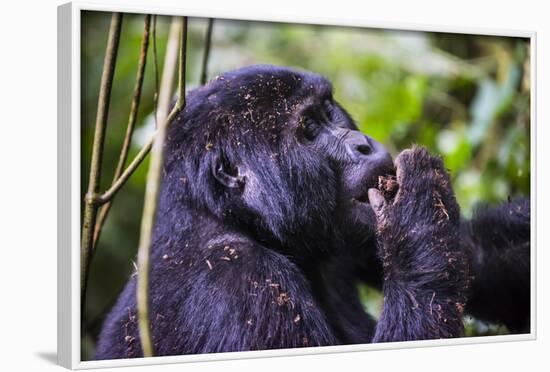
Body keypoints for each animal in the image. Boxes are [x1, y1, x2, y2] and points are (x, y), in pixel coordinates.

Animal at [95, 65, 532, 358]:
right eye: (308, 128)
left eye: (328, 110)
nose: (363, 144)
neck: (230, 217)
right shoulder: (240, 284)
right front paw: (419, 214)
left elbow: (477, 257)